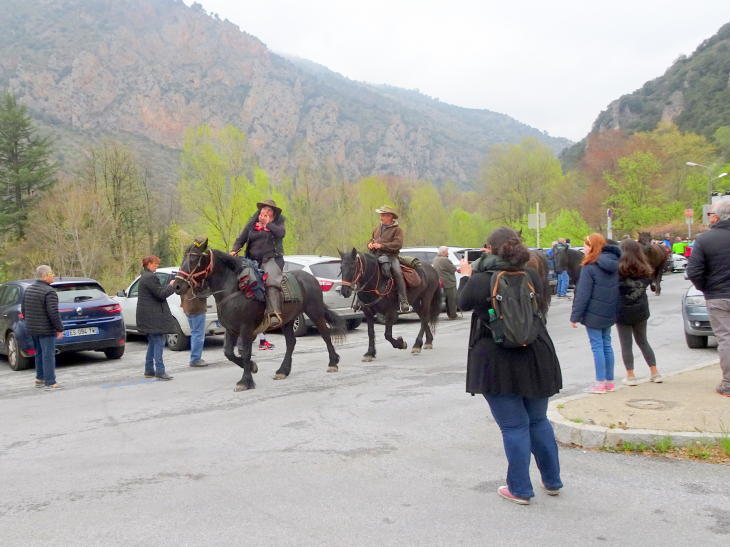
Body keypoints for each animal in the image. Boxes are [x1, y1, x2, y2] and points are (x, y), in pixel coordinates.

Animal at [172, 239, 346, 390]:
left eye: (194, 258)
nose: (177, 285)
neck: (234, 289)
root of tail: (310, 278)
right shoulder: (231, 329)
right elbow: (229, 353)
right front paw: (252, 367)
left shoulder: (246, 328)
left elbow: (246, 352)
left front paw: (245, 381)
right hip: (287, 320)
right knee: (291, 342)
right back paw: (283, 370)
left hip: (314, 312)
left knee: (325, 334)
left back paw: (333, 363)